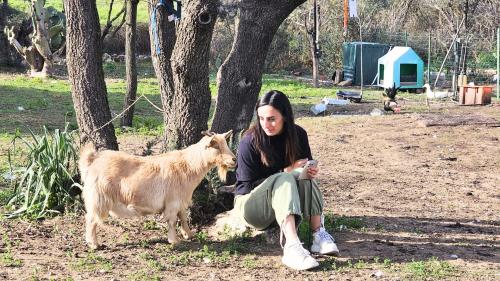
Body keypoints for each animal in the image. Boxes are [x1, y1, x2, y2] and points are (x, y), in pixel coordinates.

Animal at [78, 130, 236, 248]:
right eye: (216, 146)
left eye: (225, 143)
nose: (234, 159)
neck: (188, 166)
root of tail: (93, 160)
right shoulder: (172, 202)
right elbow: (172, 220)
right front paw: (174, 240)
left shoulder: (180, 201)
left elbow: (183, 217)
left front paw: (189, 235)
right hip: (99, 198)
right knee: (91, 219)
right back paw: (94, 244)